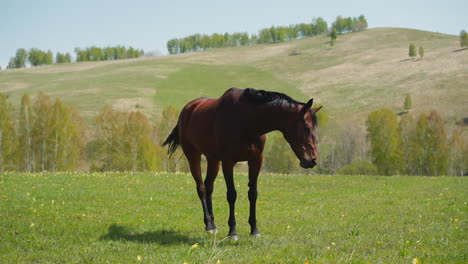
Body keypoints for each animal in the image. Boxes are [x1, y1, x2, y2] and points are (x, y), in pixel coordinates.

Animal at [163, 87, 320, 239]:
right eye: (306, 127)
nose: (312, 160)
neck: (247, 122)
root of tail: (188, 109)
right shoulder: (228, 162)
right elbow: (232, 195)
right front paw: (232, 232)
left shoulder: (256, 160)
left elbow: (253, 194)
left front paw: (254, 229)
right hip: (193, 155)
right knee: (201, 188)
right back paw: (208, 225)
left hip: (213, 159)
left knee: (209, 187)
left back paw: (213, 224)